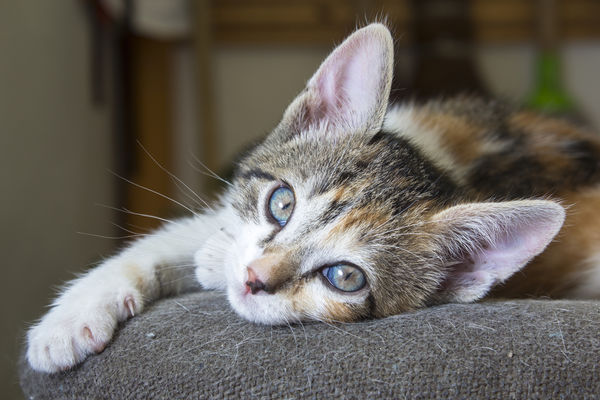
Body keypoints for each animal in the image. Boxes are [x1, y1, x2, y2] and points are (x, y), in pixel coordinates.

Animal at [25, 23, 600, 374]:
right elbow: (176, 239)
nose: (253, 279)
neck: (440, 163)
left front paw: (210, 264)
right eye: (281, 203)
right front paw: (70, 320)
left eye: (344, 277)